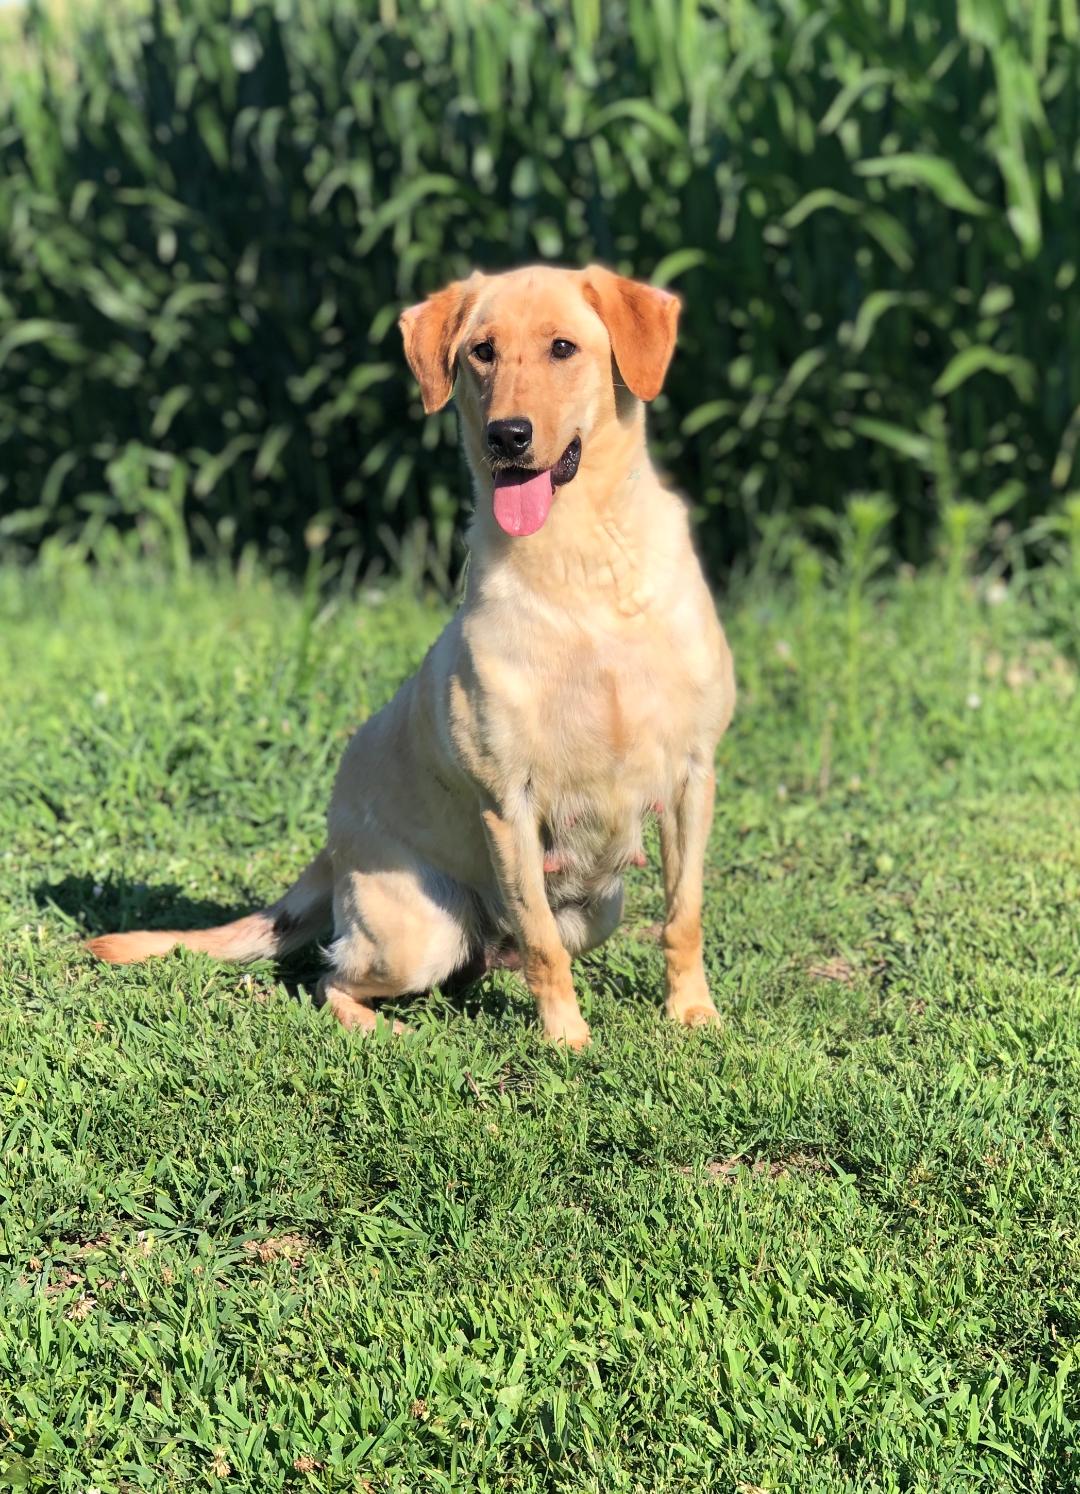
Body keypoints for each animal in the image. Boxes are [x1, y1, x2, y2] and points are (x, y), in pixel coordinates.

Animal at [90, 259, 734, 1051]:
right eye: (481, 352)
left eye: (563, 347)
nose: (506, 435)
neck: (580, 566)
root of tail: (333, 849)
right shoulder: (508, 802)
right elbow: (542, 944)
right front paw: (565, 1040)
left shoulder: (692, 773)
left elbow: (682, 916)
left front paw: (693, 1013)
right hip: (417, 933)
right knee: (334, 975)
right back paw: (384, 1030)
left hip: (599, 905)